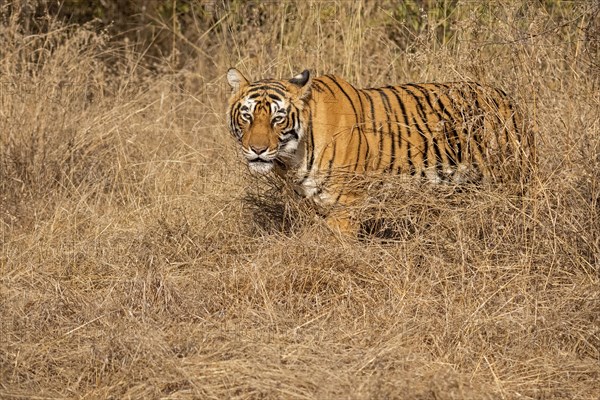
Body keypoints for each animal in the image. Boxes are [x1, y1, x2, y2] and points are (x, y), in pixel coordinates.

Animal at [225, 69, 536, 234]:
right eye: (247, 116)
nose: (257, 149)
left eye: (278, 118)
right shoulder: (307, 205)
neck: (293, 159)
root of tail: (507, 98)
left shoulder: (345, 205)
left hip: (511, 180)